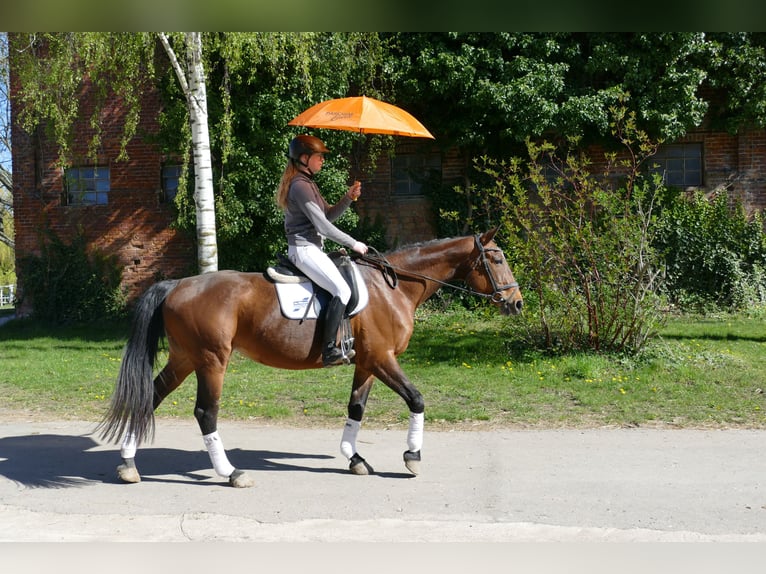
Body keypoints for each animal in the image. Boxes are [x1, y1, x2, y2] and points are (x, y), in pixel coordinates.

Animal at [97, 228, 523, 487]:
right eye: (498, 258)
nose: (517, 303)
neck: (393, 287)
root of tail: (177, 285)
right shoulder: (382, 358)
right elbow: (416, 399)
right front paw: (412, 456)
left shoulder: (367, 363)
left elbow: (356, 409)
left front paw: (355, 459)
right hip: (211, 360)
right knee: (205, 412)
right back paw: (231, 472)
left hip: (186, 358)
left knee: (150, 398)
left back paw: (129, 465)